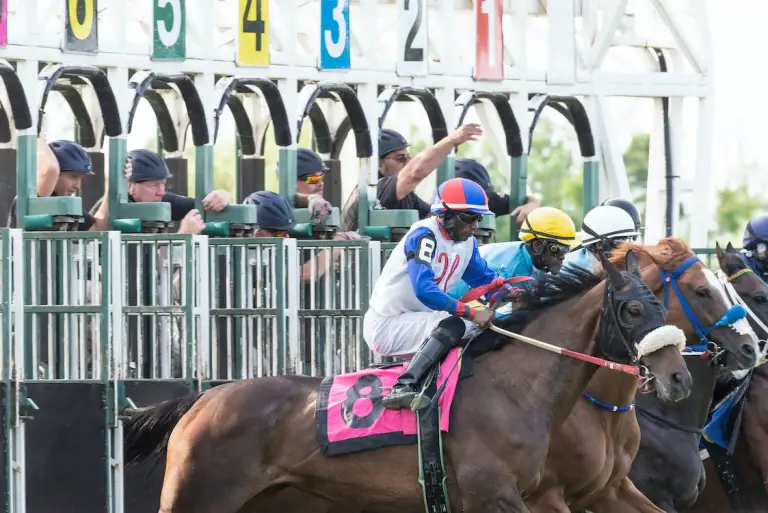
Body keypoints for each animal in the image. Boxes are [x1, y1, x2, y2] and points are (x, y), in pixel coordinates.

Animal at [124, 250, 684, 510]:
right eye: (634, 309)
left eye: (662, 306)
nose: (679, 378)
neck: (516, 387)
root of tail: (202, 401)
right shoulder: (500, 496)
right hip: (196, 497)